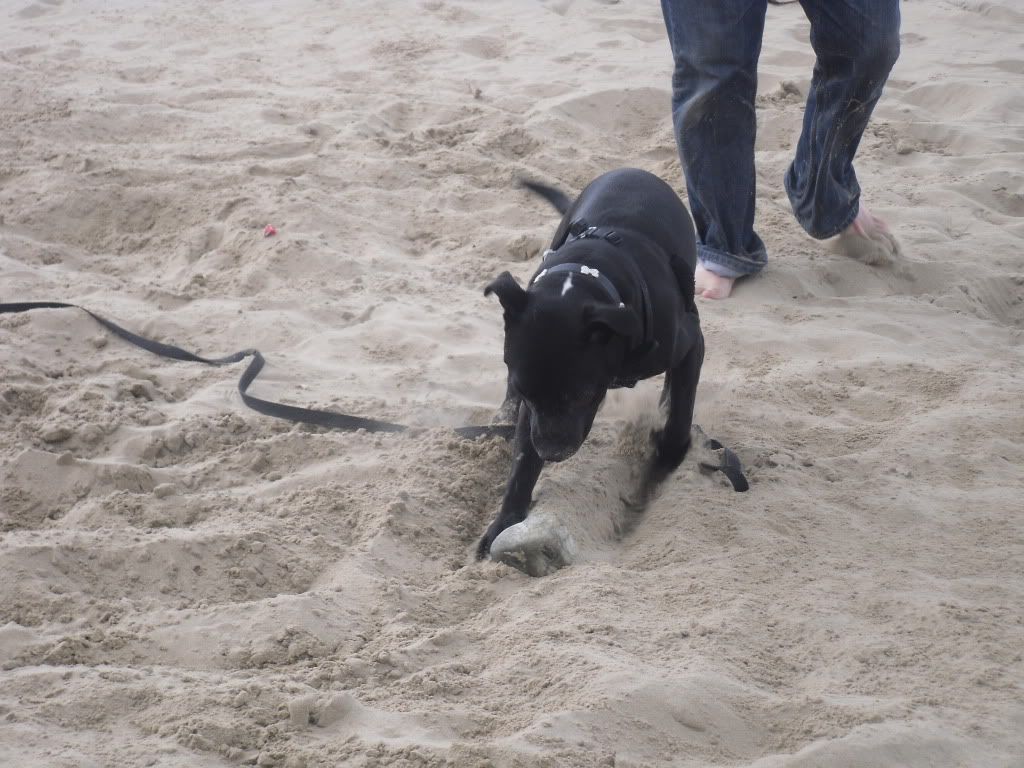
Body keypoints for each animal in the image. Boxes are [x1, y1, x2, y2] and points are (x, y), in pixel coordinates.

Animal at [479, 167, 704, 561]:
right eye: (528, 393)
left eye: (582, 394)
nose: (552, 452)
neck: (588, 277)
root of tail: (633, 171)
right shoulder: (530, 409)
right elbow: (522, 462)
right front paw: (503, 522)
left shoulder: (692, 344)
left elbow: (681, 415)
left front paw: (665, 460)